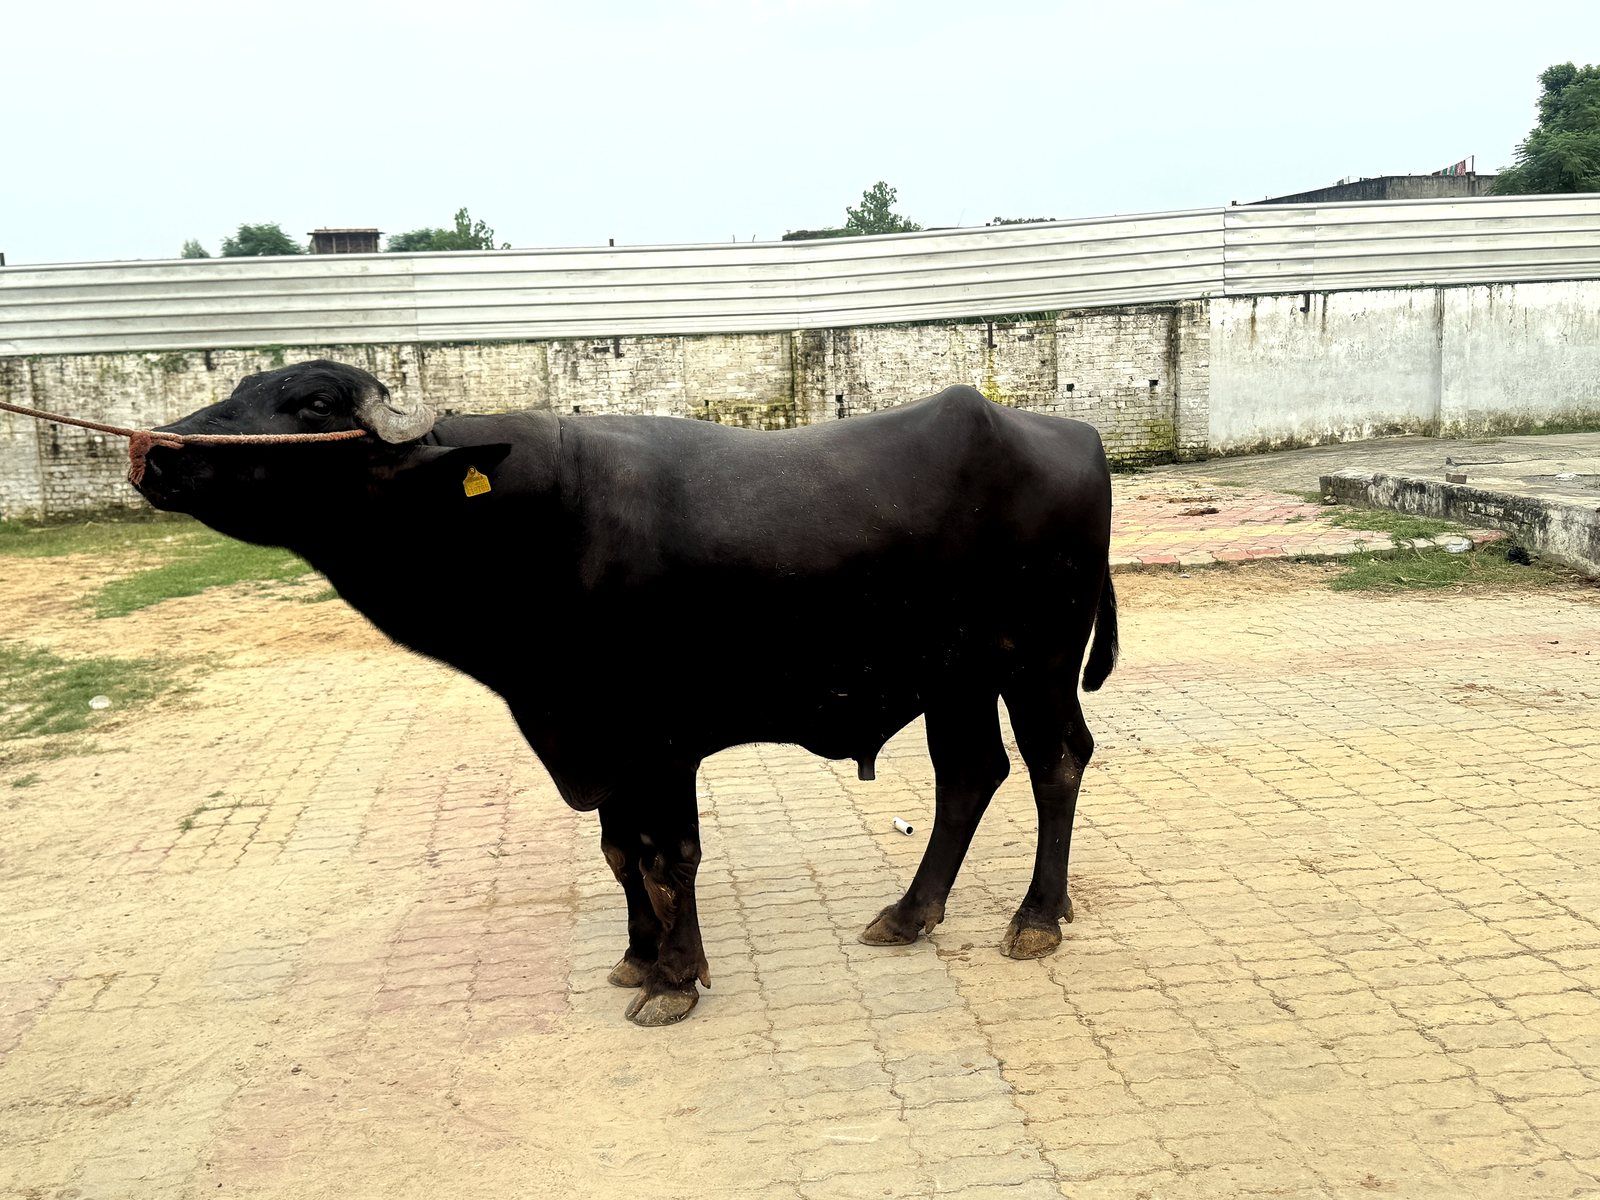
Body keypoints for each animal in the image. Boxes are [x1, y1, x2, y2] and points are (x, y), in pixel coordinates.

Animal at [133, 360, 1117, 1026]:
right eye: (243, 384)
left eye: (312, 405)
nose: (153, 451)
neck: (534, 523)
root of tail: (1073, 436)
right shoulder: (589, 732)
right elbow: (616, 852)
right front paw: (636, 960)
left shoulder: (659, 740)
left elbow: (666, 855)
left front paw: (675, 981)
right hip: (957, 676)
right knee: (970, 775)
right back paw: (911, 914)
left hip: (1036, 661)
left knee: (1056, 763)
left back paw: (1037, 917)